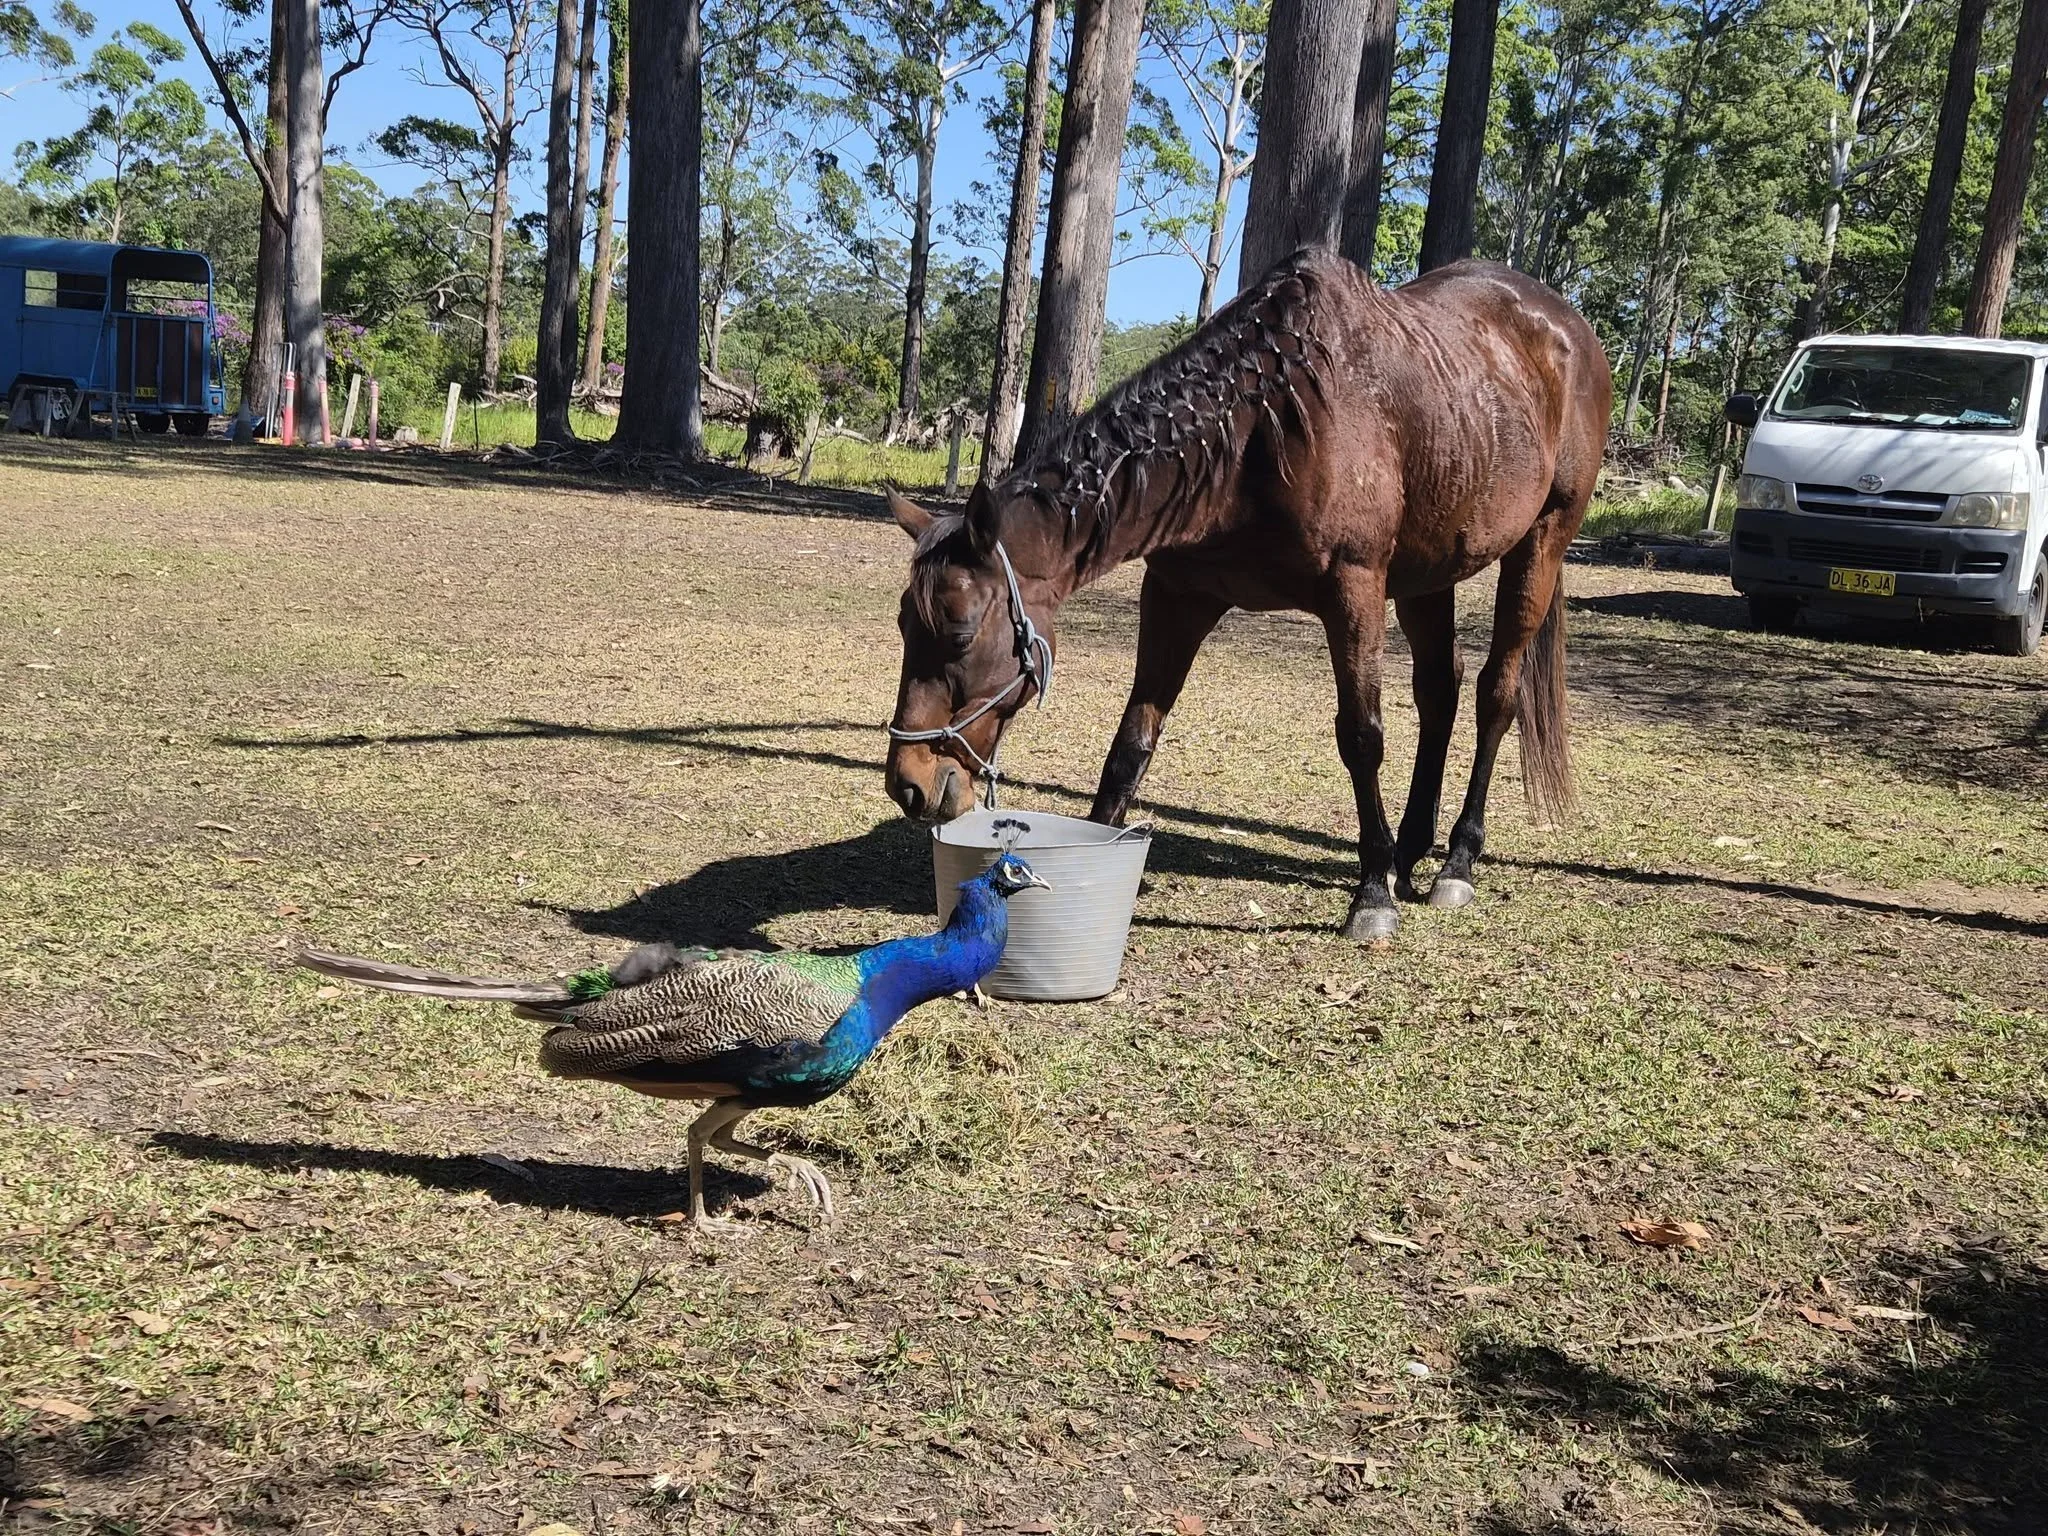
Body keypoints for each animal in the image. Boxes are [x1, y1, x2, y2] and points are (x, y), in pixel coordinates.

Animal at [884, 246, 1611, 941]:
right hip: (1430, 572)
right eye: (903, 627)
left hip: (1539, 545)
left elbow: (1362, 736)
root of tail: (1566, 329)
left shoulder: (1354, 587)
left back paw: (1456, 860)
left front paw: (1370, 893)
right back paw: (1410, 849)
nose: (908, 784)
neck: (1260, 424)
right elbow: (1132, 743)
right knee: (1441, 691)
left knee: (1495, 696)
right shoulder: (1178, 596)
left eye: (959, 631)